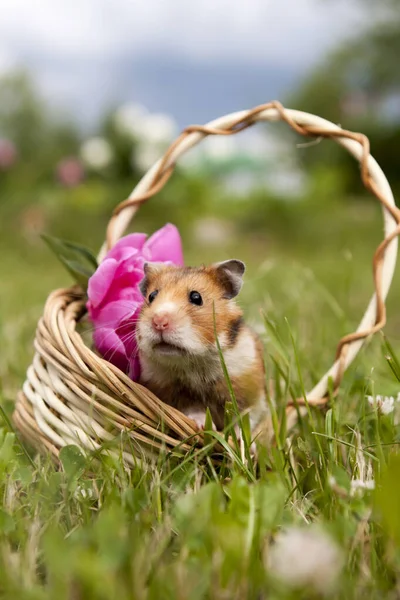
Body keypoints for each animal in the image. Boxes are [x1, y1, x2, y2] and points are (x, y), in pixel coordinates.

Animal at [136, 258, 268, 436]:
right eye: (152, 296)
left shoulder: (250, 395)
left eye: (196, 297)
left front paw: (241, 440)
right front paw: (204, 427)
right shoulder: (175, 395)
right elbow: (194, 410)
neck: (196, 361)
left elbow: (243, 420)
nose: (159, 321)